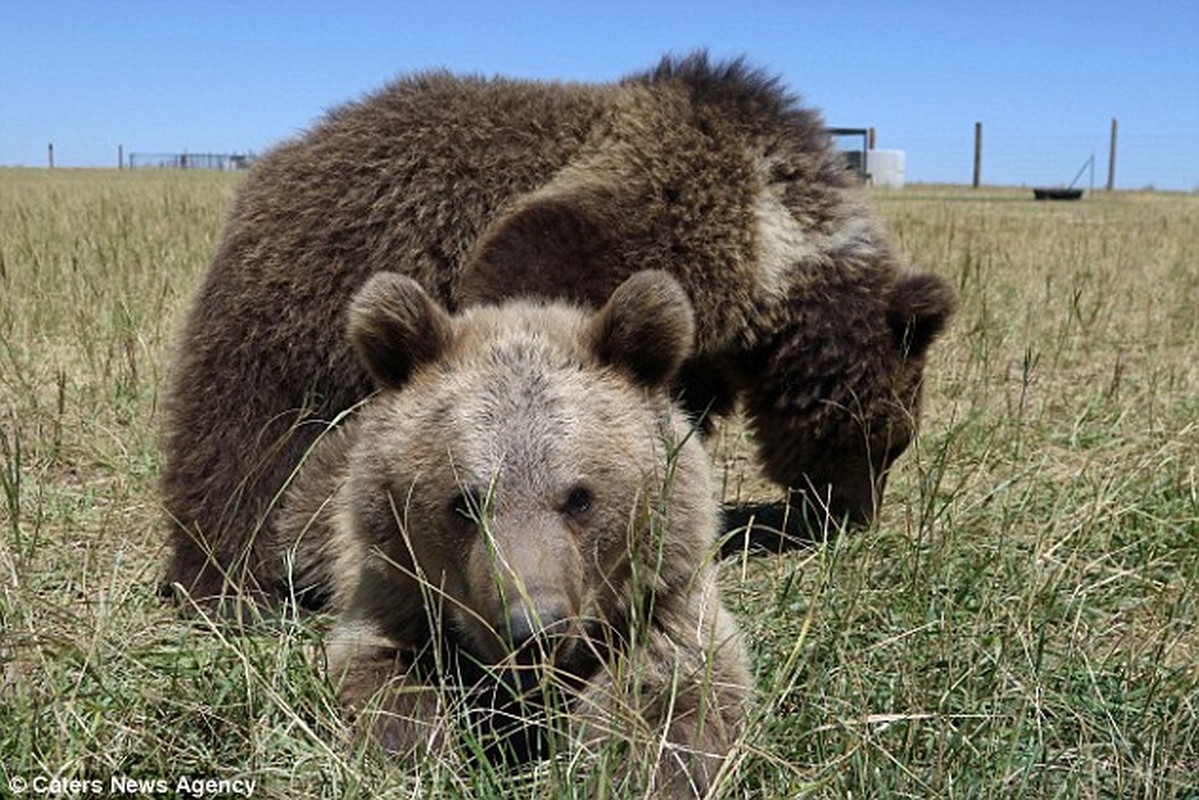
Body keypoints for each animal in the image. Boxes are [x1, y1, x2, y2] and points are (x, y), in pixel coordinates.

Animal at [164, 53, 959, 609]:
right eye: (886, 443)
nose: (852, 518)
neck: (775, 241)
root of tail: (277, 161)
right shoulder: (658, 206)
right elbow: (535, 274)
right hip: (310, 292)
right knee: (246, 443)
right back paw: (235, 576)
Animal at [275, 272, 752, 796]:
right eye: (464, 502)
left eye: (580, 498)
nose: (534, 629)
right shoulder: (396, 587)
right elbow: (382, 668)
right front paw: (428, 750)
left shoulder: (665, 595)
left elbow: (675, 683)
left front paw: (635, 766)